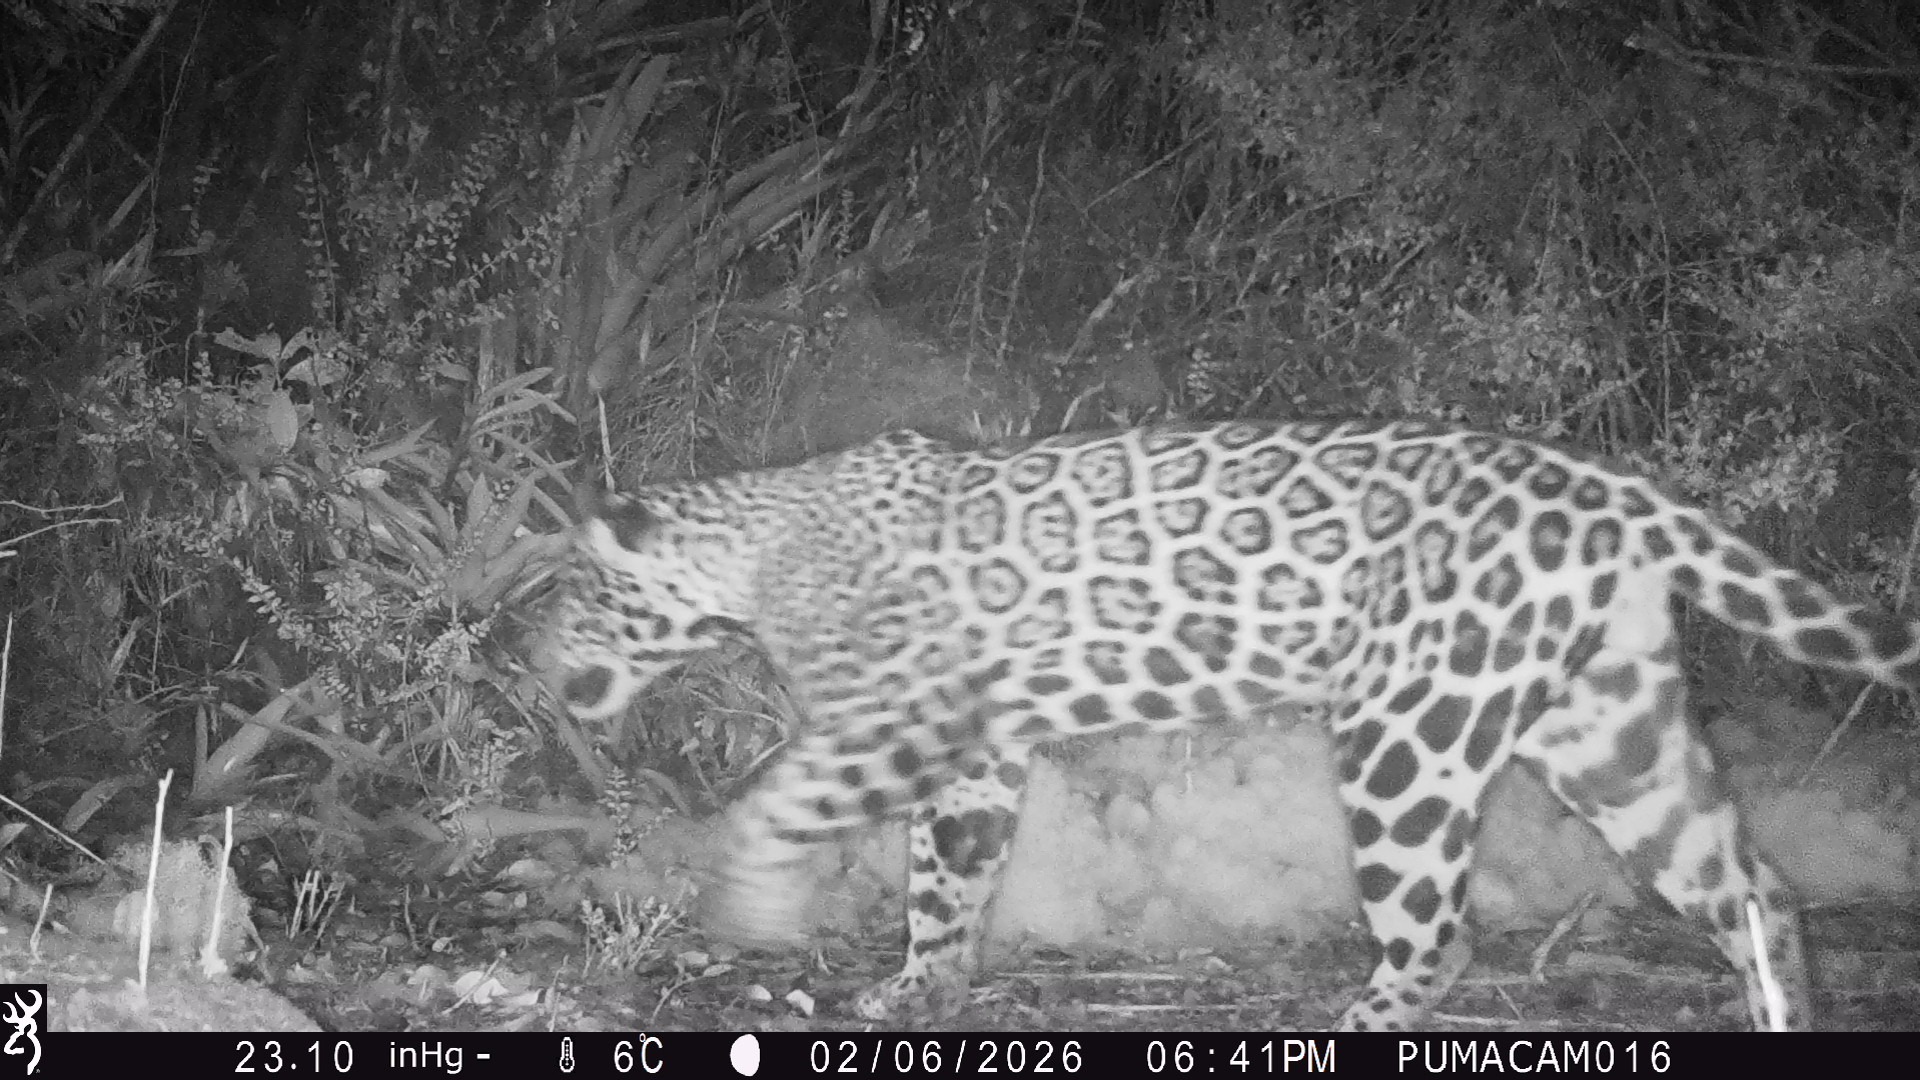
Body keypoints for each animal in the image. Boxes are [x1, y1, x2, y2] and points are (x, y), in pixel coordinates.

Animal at [541, 419, 1920, 1031]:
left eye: (572, 589)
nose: (527, 652)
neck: (754, 546)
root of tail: (1610, 483)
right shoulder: (969, 754)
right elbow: (948, 873)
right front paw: (920, 986)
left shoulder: (896, 719)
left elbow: (775, 802)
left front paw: (750, 906)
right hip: (1607, 726)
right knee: (1749, 881)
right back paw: (1782, 1014)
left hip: (1409, 729)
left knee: (1443, 931)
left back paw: (1361, 1018)